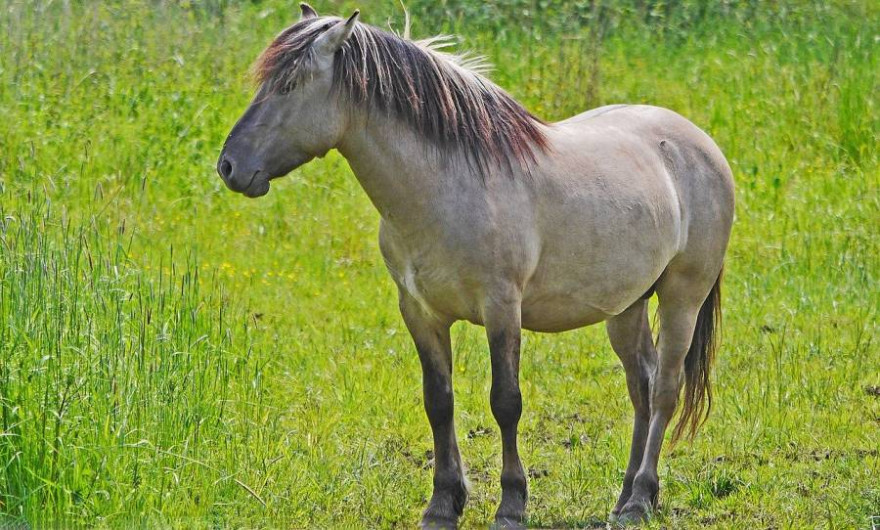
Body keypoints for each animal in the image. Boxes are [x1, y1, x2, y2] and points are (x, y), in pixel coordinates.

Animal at [215, 4, 736, 524]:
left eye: (289, 85)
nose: (229, 167)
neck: (445, 187)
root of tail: (699, 143)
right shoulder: (420, 312)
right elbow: (438, 402)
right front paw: (443, 504)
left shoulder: (501, 307)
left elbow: (505, 402)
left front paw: (511, 505)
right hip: (625, 306)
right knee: (640, 385)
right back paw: (625, 496)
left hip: (681, 298)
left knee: (665, 387)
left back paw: (641, 499)